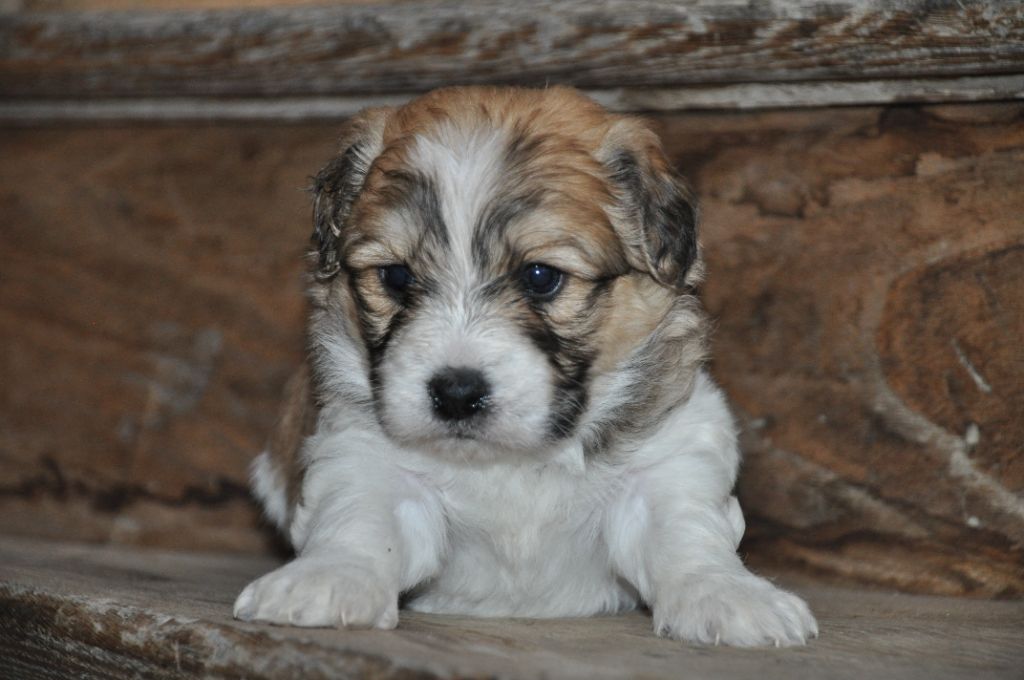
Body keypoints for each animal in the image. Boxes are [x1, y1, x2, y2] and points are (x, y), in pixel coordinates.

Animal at [232, 87, 815, 647]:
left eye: (540, 277)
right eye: (396, 277)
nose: (456, 393)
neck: (509, 460)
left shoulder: (668, 459)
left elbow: (686, 532)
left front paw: (728, 594)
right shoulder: (364, 454)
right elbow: (360, 520)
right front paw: (328, 578)